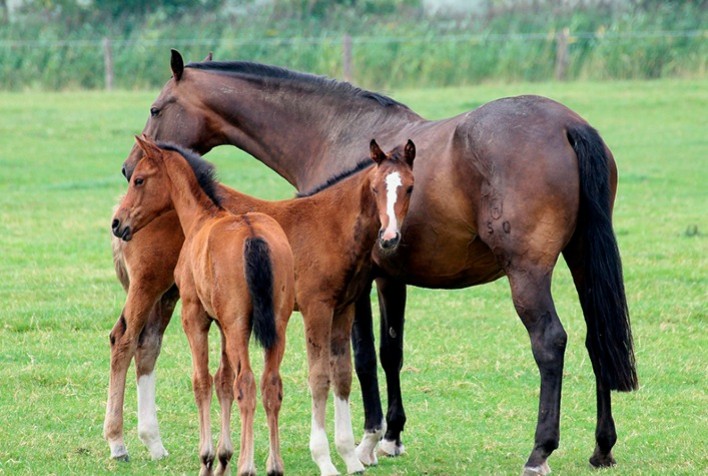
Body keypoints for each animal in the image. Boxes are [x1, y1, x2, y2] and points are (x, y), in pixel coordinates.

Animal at [113, 135, 296, 476]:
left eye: (139, 179)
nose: (118, 223)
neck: (202, 218)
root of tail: (253, 236)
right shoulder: (222, 324)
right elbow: (222, 381)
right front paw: (223, 456)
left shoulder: (195, 316)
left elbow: (202, 381)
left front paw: (208, 458)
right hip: (276, 326)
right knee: (270, 385)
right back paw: (273, 465)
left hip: (238, 326)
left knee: (247, 384)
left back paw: (247, 465)